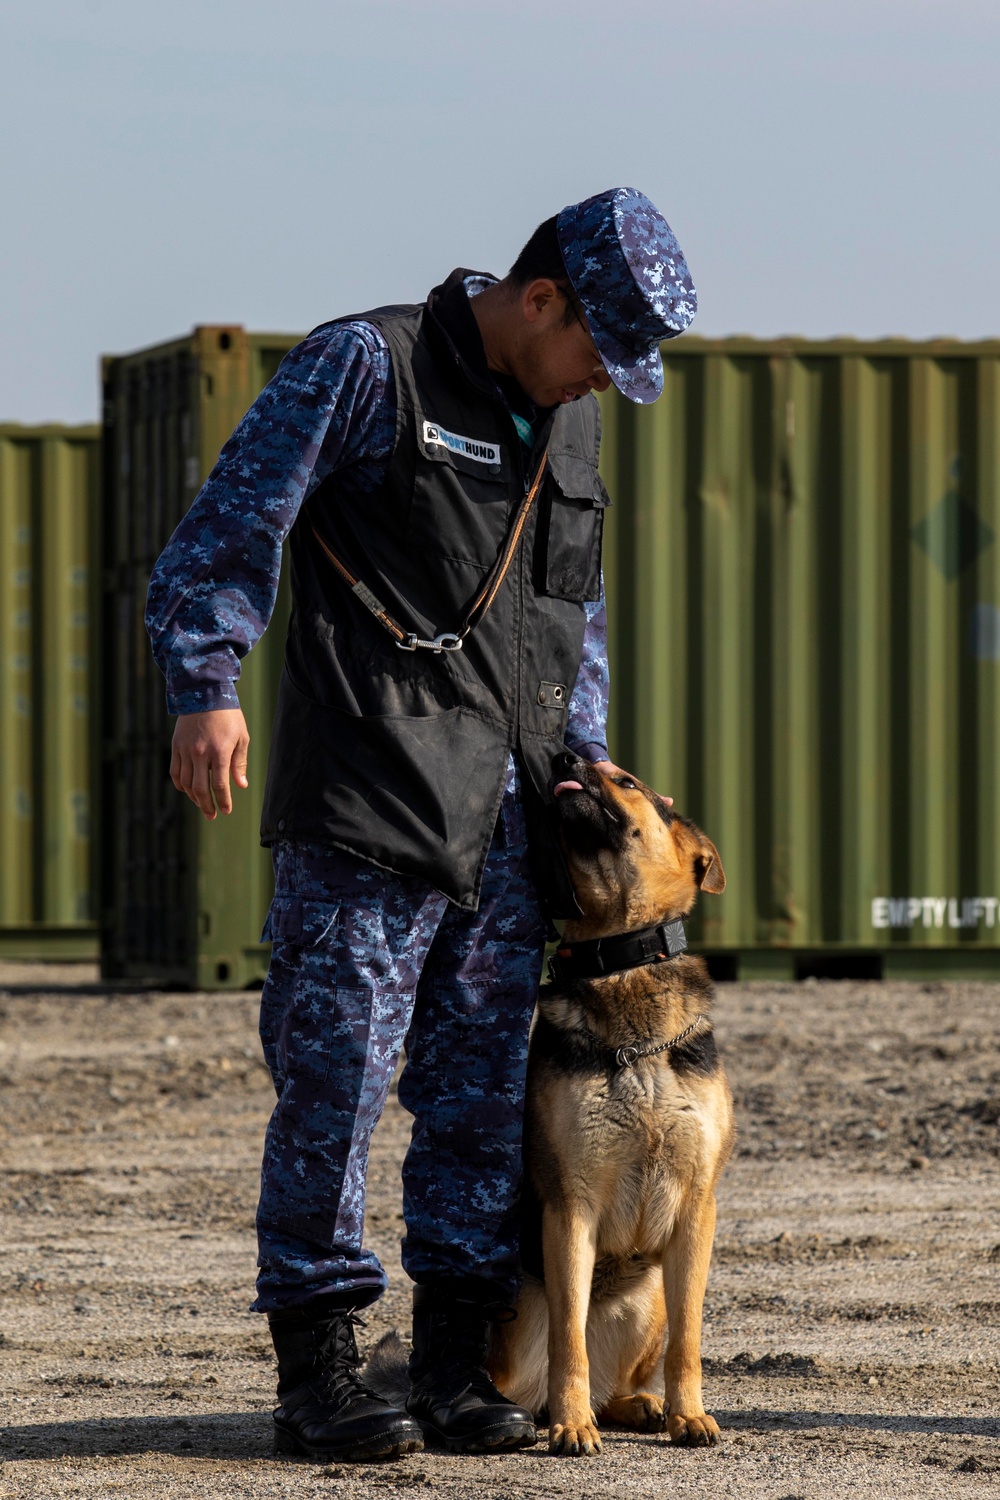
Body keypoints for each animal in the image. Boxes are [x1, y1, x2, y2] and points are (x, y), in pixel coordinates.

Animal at [491, 750, 734, 1452]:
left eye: (624, 780)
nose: (565, 755)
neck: (620, 960)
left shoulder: (697, 1210)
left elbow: (689, 1337)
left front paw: (688, 1413)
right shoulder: (570, 1210)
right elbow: (568, 1336)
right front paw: (573, 1426)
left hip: (646, 1296)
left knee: (622, 1379)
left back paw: (638, 1406)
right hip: (511, 1312)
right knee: (530, 1379)